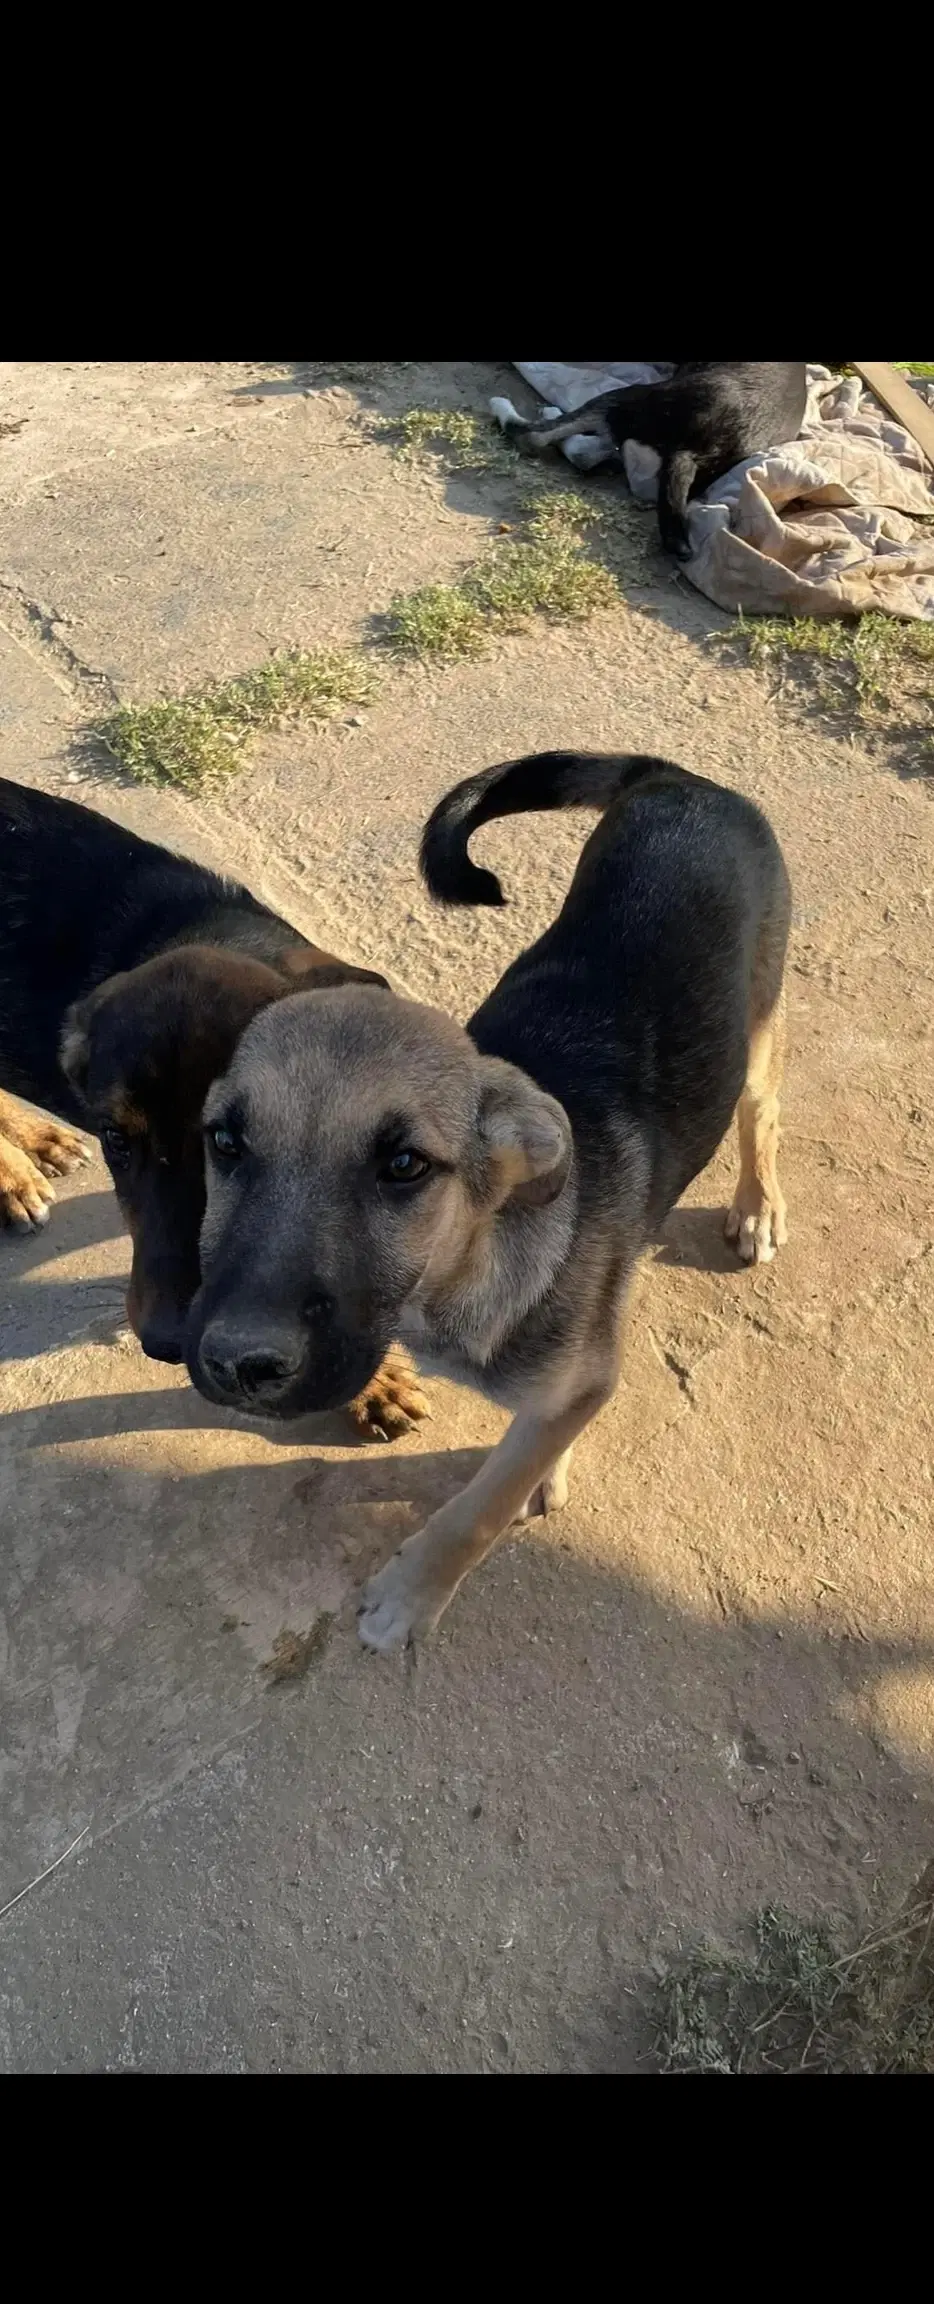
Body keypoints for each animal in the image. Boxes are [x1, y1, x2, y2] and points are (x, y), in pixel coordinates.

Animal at [185, 746, 788, 1649]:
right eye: (225, 1142)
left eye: (404, 1165)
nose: (237, 1365)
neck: (459, 1273)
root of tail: (679, 781)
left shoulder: (583, 1379)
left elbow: (479, 1506)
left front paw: (411, 1595)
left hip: (756, 1028)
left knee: (763, 1110)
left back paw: (756, 1205)